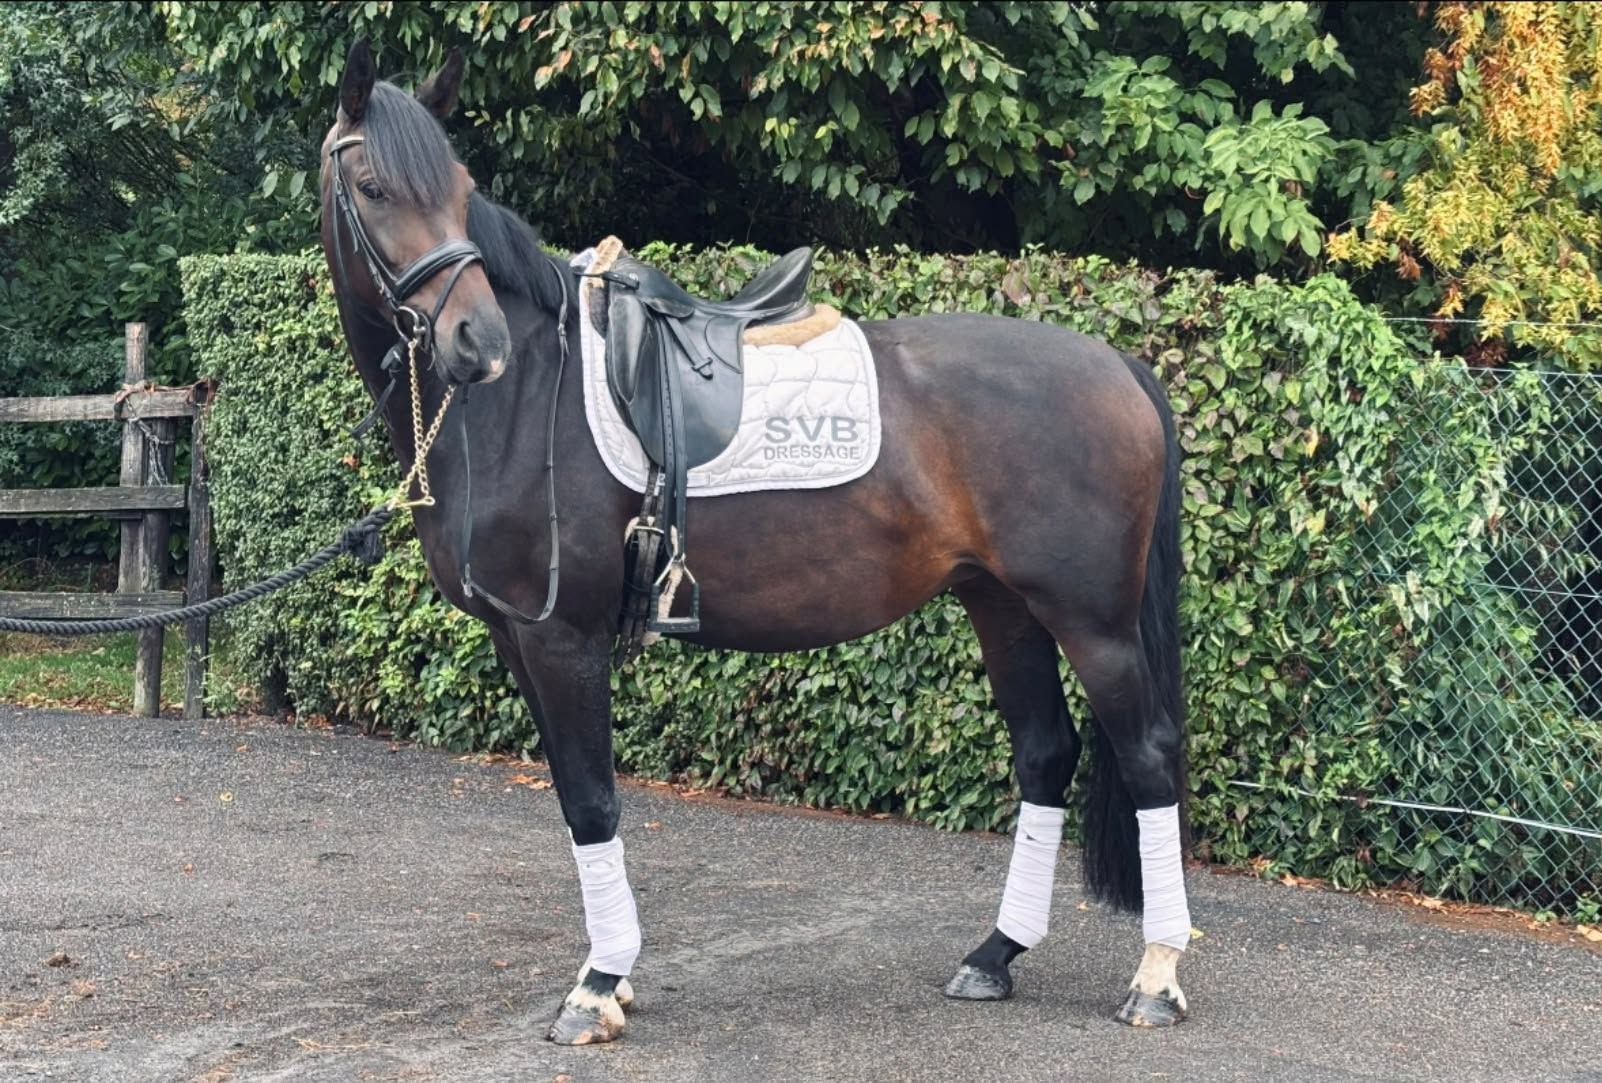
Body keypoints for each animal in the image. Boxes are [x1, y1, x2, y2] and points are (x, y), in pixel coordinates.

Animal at [319, 40, 1191, 1045]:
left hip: (1093, 624)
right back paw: (995, 954)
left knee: (1149, 755)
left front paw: (597, 985)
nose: (476, 342)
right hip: (1002, 605)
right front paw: (611, 976)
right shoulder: (518, 640)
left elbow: (591, 798)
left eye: (460, 191)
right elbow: (576, 803)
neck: (523, 396)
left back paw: (1157, 974)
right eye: (374, 187)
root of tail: (1118, 365)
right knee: (1046, 753)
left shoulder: (562, 639)